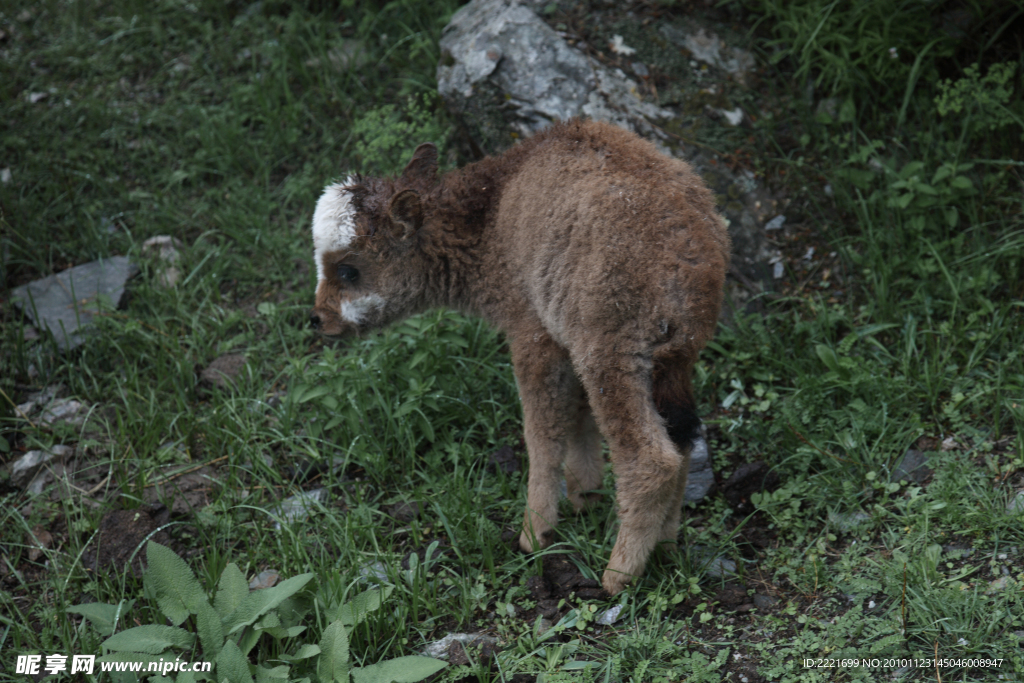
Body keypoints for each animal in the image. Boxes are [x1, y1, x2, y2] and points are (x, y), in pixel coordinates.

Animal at [307, 117, 733, 593]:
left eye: (349, 270)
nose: (318, 319)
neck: (491, 215)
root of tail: (696, 258)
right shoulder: (565, 335)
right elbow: (578, 416)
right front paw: (585, 494)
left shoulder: (533, 333)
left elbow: (542, 434)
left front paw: (536, 531)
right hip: (670, 362)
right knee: (683, 440)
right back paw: (666, 544)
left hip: (612, 355)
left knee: (651, 459)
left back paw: (618, 574)